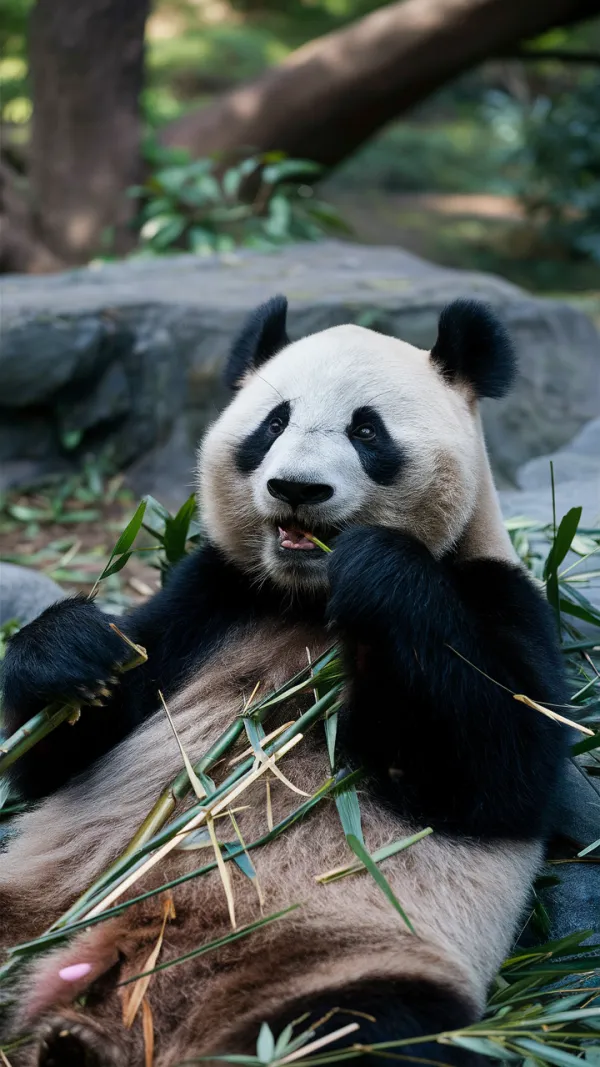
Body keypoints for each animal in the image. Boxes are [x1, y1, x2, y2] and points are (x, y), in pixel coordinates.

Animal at [0, 296, 567, 1067]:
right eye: (274, 422)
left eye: (366, 430)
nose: (296, 487)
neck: (303, 595)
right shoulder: (212, 596)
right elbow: (60, 756)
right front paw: (72, 651)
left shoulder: (499, 597)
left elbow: (496, 769)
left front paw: (379, 571)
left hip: (327, 958)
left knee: (368, 1031)